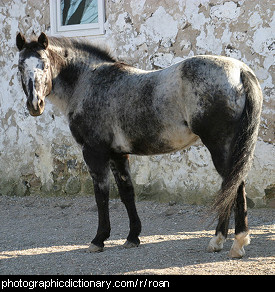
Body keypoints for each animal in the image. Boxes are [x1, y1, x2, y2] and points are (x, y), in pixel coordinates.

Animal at [15, 32, 264, 258]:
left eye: (44, 64)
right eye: (19, 67)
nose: (35, 104)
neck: (88, 82)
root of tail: (240, 71)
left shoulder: (95, 153)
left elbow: (101, 196)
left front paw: (99, 240)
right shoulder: (118, 155)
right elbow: (127, 193)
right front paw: (133, 237)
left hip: (220, 145)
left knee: (234, 185)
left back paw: (236, 243)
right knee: (230, 185)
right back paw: (219, 241)